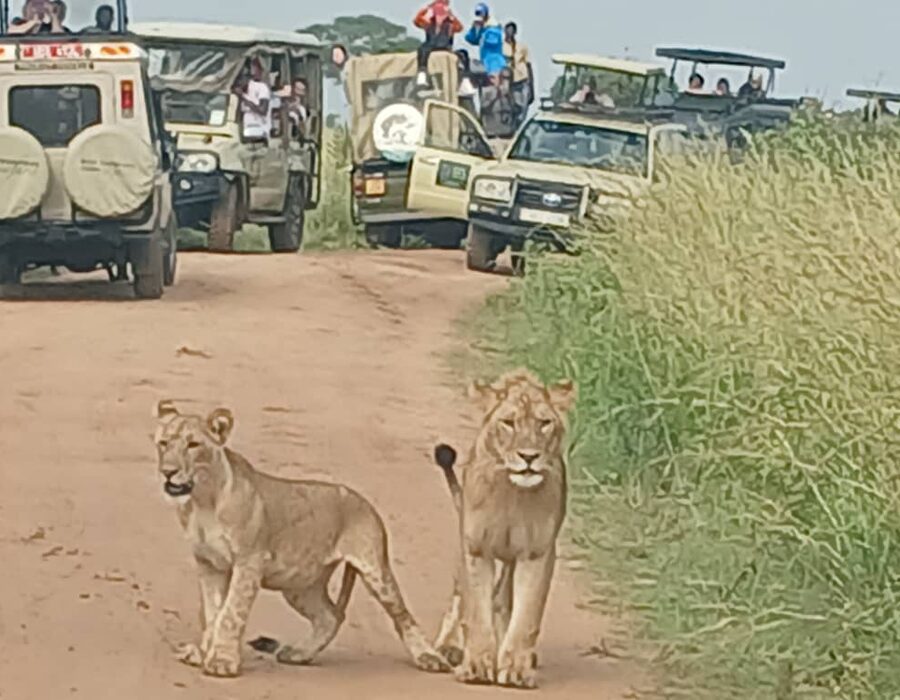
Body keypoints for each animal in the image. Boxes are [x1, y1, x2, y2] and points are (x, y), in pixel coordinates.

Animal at [153, 400, 449, 678]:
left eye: (193, 445)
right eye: (163, 443)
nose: (168, 471)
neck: (202, 500)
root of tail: (364, 502)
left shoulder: (249, 561)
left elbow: (231, 613)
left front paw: (222, 662)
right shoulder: (209, 564)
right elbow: (213, 613)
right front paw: (203, 652)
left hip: (374, 568)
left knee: (402, 616)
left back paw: (430, 658)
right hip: (300, 584)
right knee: (331, 615)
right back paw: (299, 654)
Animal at [429, 369, 576, 690]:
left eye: (544, 423)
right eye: (508, 423)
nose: (529, 457)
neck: (513, 493)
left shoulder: (536, 553)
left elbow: (526, 615)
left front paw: (516, 668)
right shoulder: (475, 548)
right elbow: (475, 610)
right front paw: (476, 665)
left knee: (502, 598)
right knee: (461, 599)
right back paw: (448, 646)